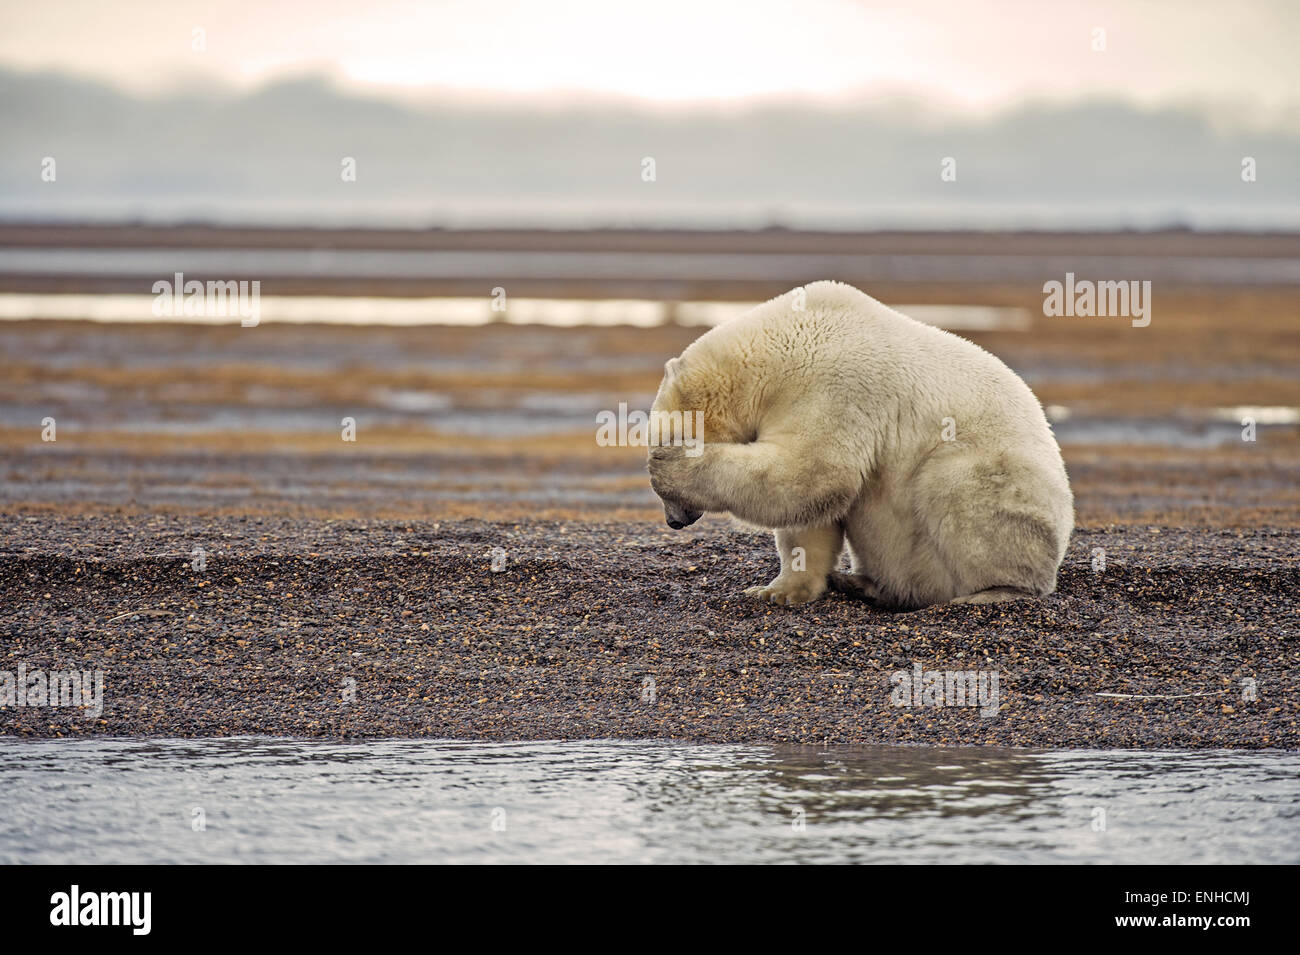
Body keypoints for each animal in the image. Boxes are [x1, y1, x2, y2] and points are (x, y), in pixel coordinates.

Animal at [644, 280, 1071, 608]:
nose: (675, 521)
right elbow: (812, 513)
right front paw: (776, 591)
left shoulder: (833, 385)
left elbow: (812, 474)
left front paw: (671, 465)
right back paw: (860, 583)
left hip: (1004, 487)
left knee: (957, 490)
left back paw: (995, 591)